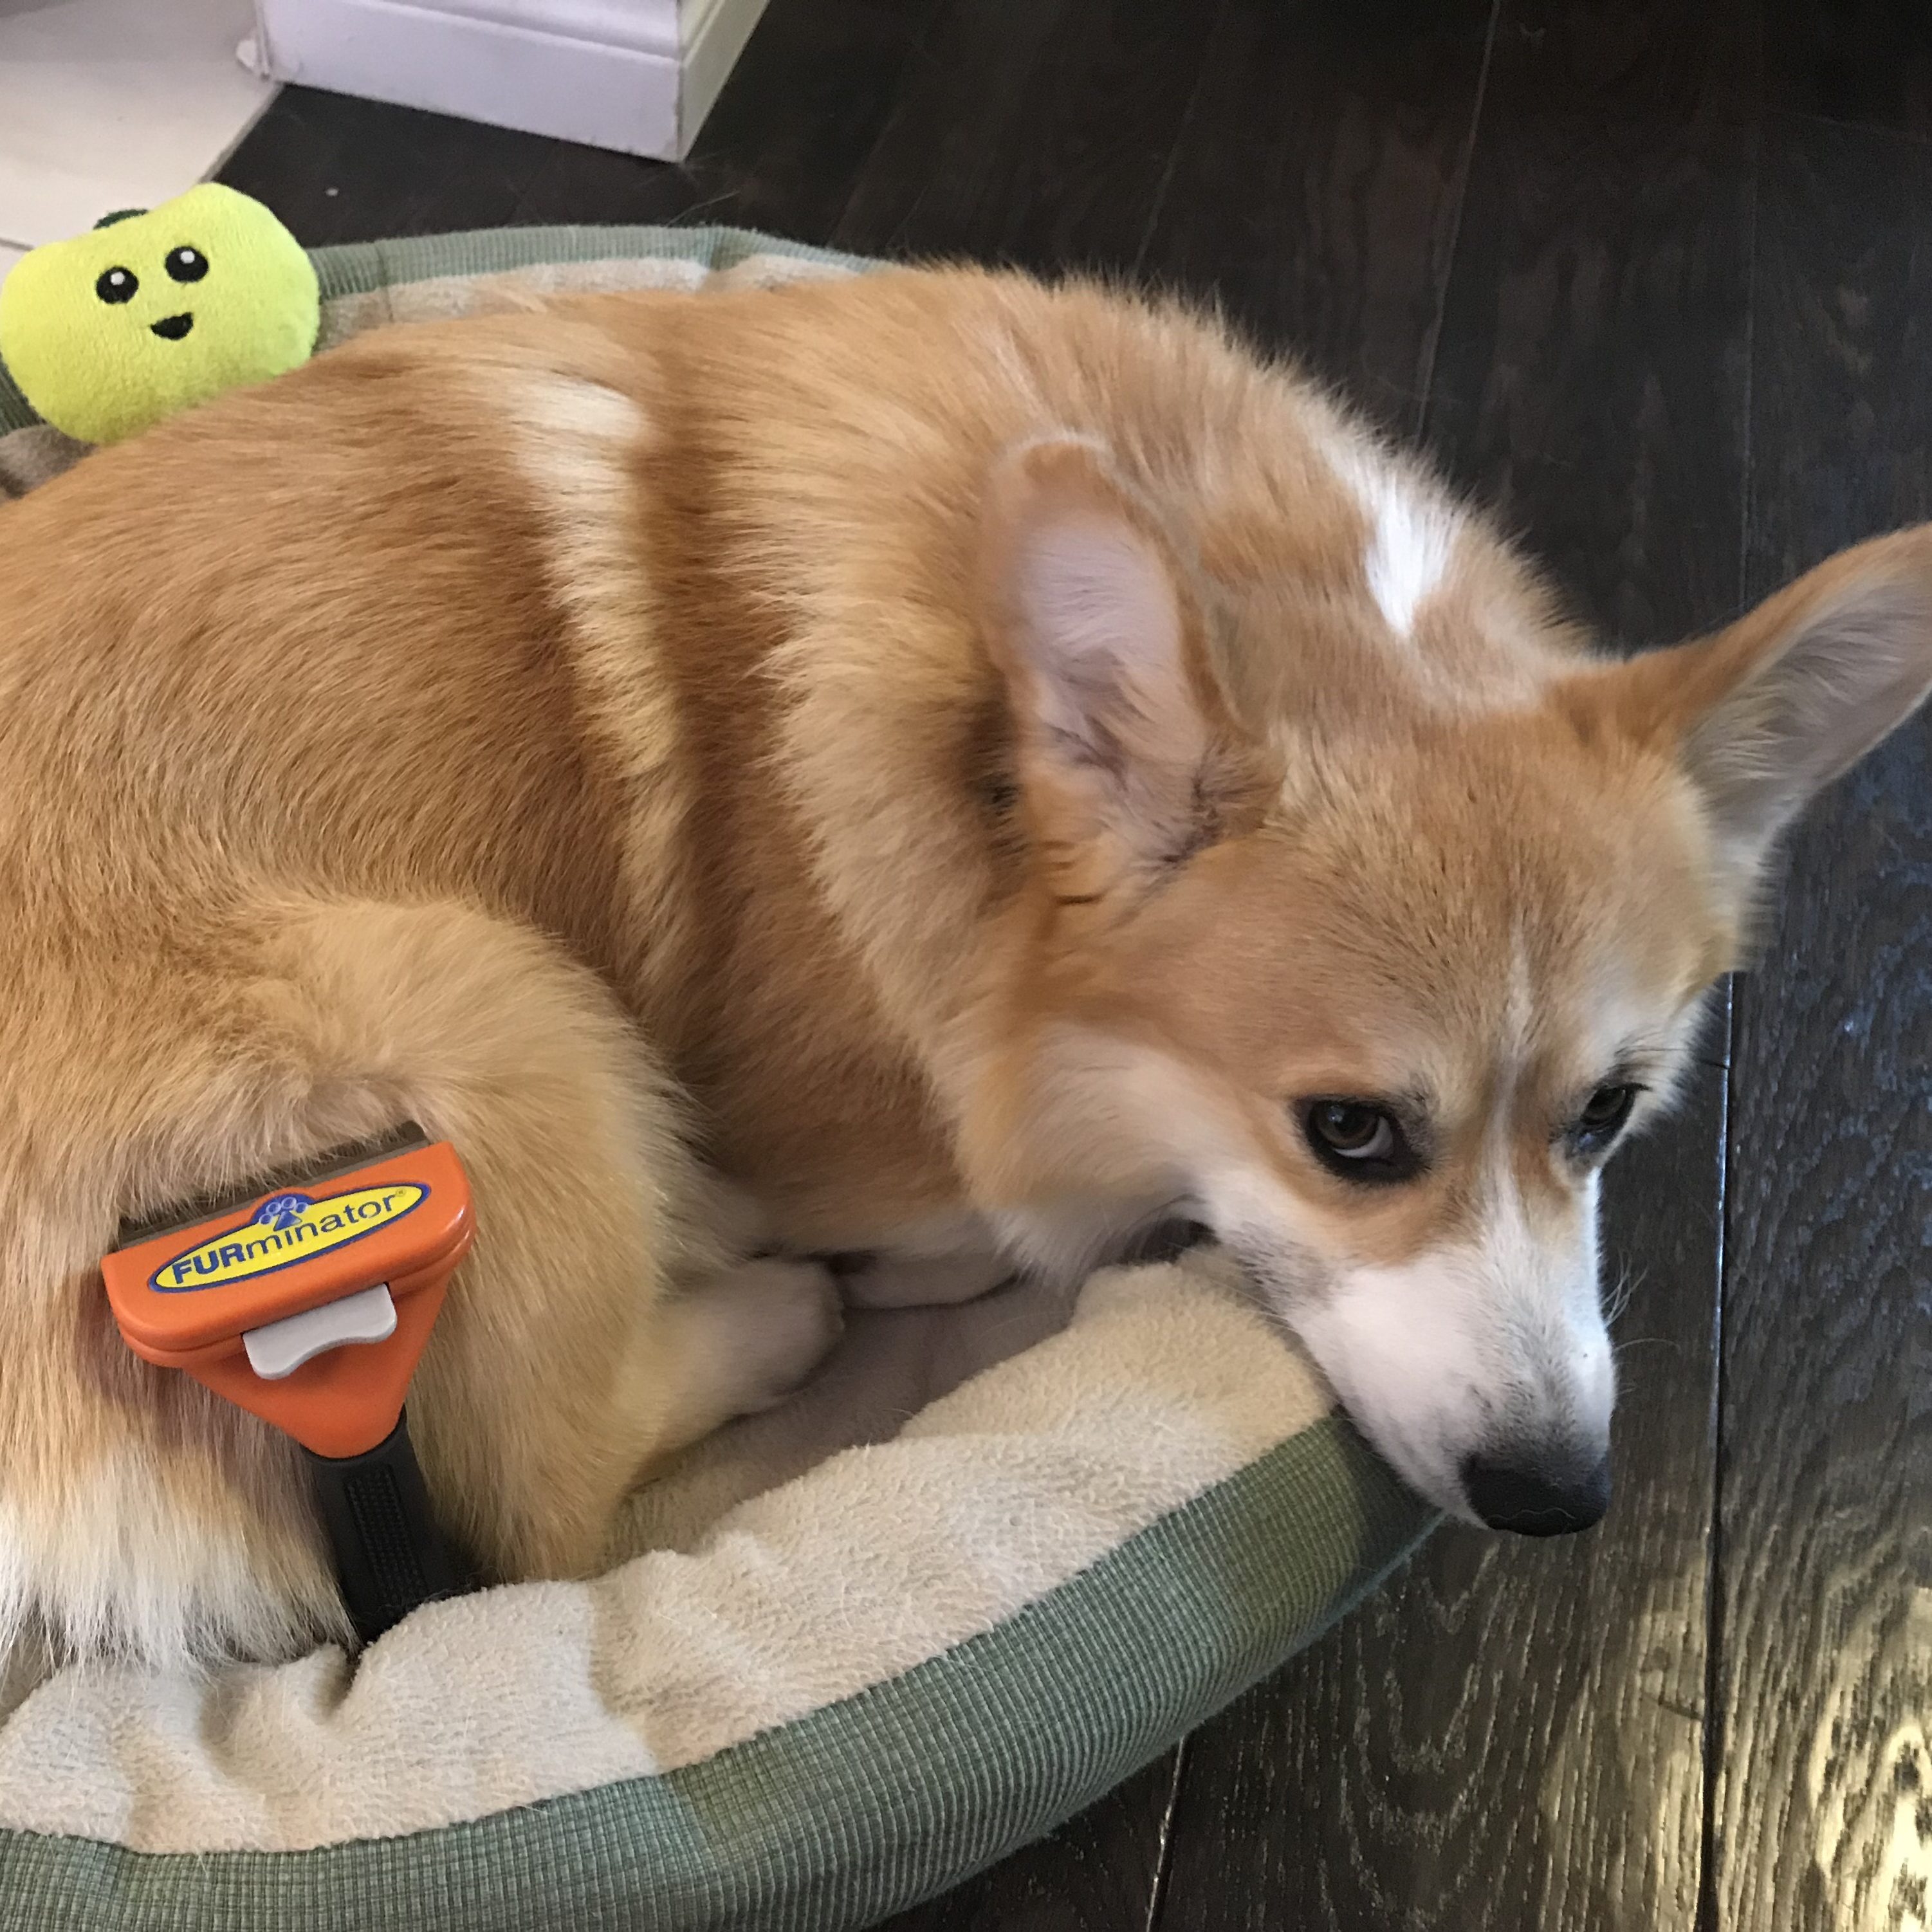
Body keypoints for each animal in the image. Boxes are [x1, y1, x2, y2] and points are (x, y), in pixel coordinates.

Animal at [3, 264, 1932, 1669]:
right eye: (1352, 1133)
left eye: (1607, 1114)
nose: (1558, 1494)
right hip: (491, 1013)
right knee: (540, 1492)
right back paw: (773, 1318)